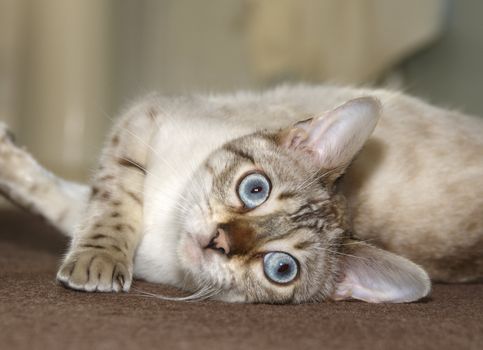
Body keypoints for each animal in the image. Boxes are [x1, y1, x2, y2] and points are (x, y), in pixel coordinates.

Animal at [0, 85, 483, 304]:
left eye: (281, 268)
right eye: (255, 189)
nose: (219, 240)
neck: (163, 234)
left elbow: (80, 207)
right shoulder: (143, 120)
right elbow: (110, 203)